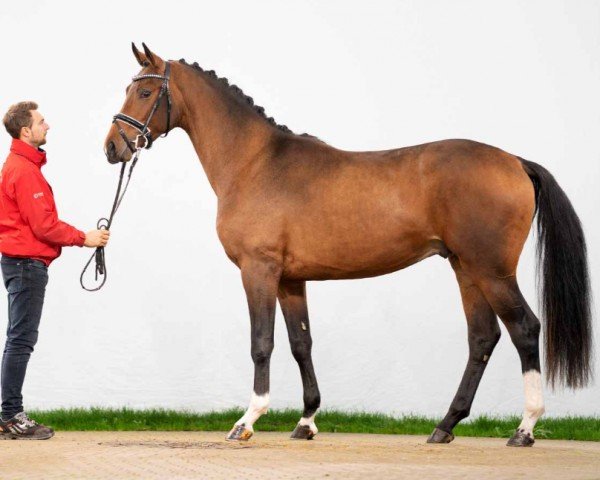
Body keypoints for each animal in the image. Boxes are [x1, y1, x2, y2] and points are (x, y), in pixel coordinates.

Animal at [103, 44, 592, 446]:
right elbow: (301, 343)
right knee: (483, 338)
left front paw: (247, 420)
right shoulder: (291, 280)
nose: (112, 147)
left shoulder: (258, 270)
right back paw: (445, 425)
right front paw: (306, 422)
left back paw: (524, 429)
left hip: (491, 270)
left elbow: (262, 342)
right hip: (465, 269)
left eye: (144, 92)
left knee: (524, 329)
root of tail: (515, 161)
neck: (256, 163)